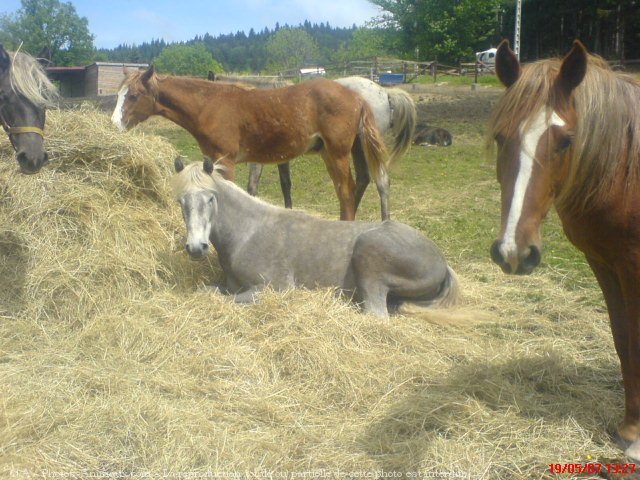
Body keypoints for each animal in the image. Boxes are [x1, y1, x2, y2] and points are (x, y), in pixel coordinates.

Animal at [112, 66, 388, 220]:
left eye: (134, 95)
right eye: (119, 94)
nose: (115, 125)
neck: (209, 106)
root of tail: (357, 97)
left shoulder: (226, 161)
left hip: (336, 152)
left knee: (346, 190)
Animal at [172, 158, 458, 318]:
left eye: (211, 199)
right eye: (181, 201)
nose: (196, 248)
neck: (248, 233)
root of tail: (441, 261)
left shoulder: (272, 289)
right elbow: (207, 292)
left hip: (369, 257)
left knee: (374, 314)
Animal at [490, 39, 640, 460]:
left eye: (566, 141)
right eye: (500, 137)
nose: (513, 251)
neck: (626, 172)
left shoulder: (633, 265)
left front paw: (637, 439)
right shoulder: (604, 263)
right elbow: (623, 338)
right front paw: (628, 428)